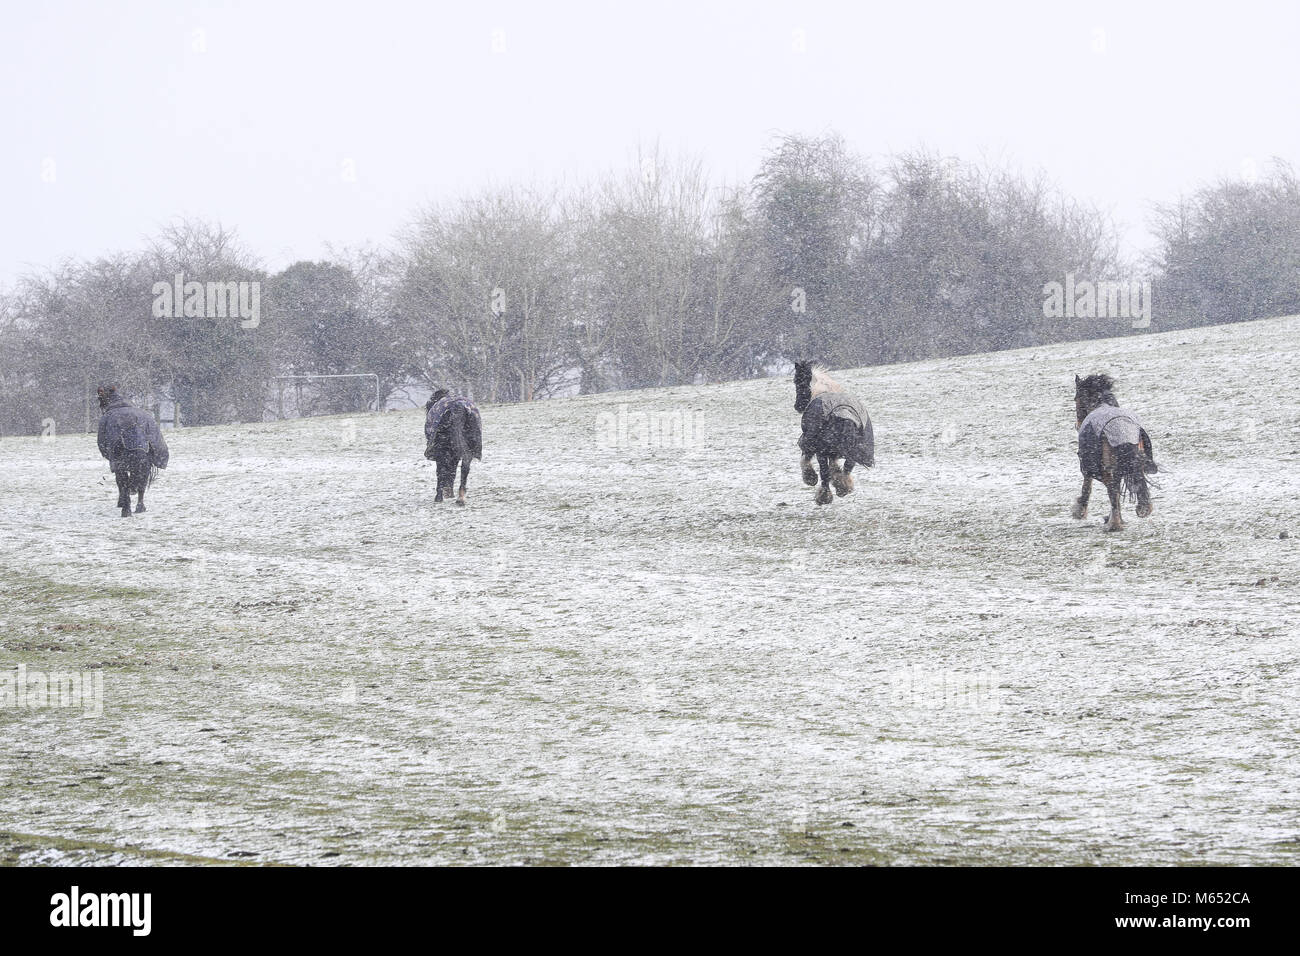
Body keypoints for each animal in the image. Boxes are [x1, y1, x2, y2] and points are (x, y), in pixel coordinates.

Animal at [94, 382, 167, 520]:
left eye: (100, 397)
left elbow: (121, 485)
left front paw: (121, 502)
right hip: (145, 464)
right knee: (141, 485)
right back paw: (140, 508)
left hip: (120, 463)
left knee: (124, 484)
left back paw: (126, 510)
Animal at [790, 361, 873, 509]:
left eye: (796, 381)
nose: (797, 406)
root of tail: (844, 413)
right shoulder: (833, 451)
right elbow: (835, 466)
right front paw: (837, 479)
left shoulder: (811, 444)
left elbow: (806, 461)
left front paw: (810, 478)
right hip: (852, 449)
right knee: (847, 468)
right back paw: (843, 487)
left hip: (820, 450)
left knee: (824, 473)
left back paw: (824, 496)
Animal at [1076, 371, 1159, 535]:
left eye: (1076, 399)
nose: (1077, 424)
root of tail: (1121, 430)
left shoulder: (1090, 469)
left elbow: (1087, 488)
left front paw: (1079, 511)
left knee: (1112, 492)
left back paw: (1114, 524)